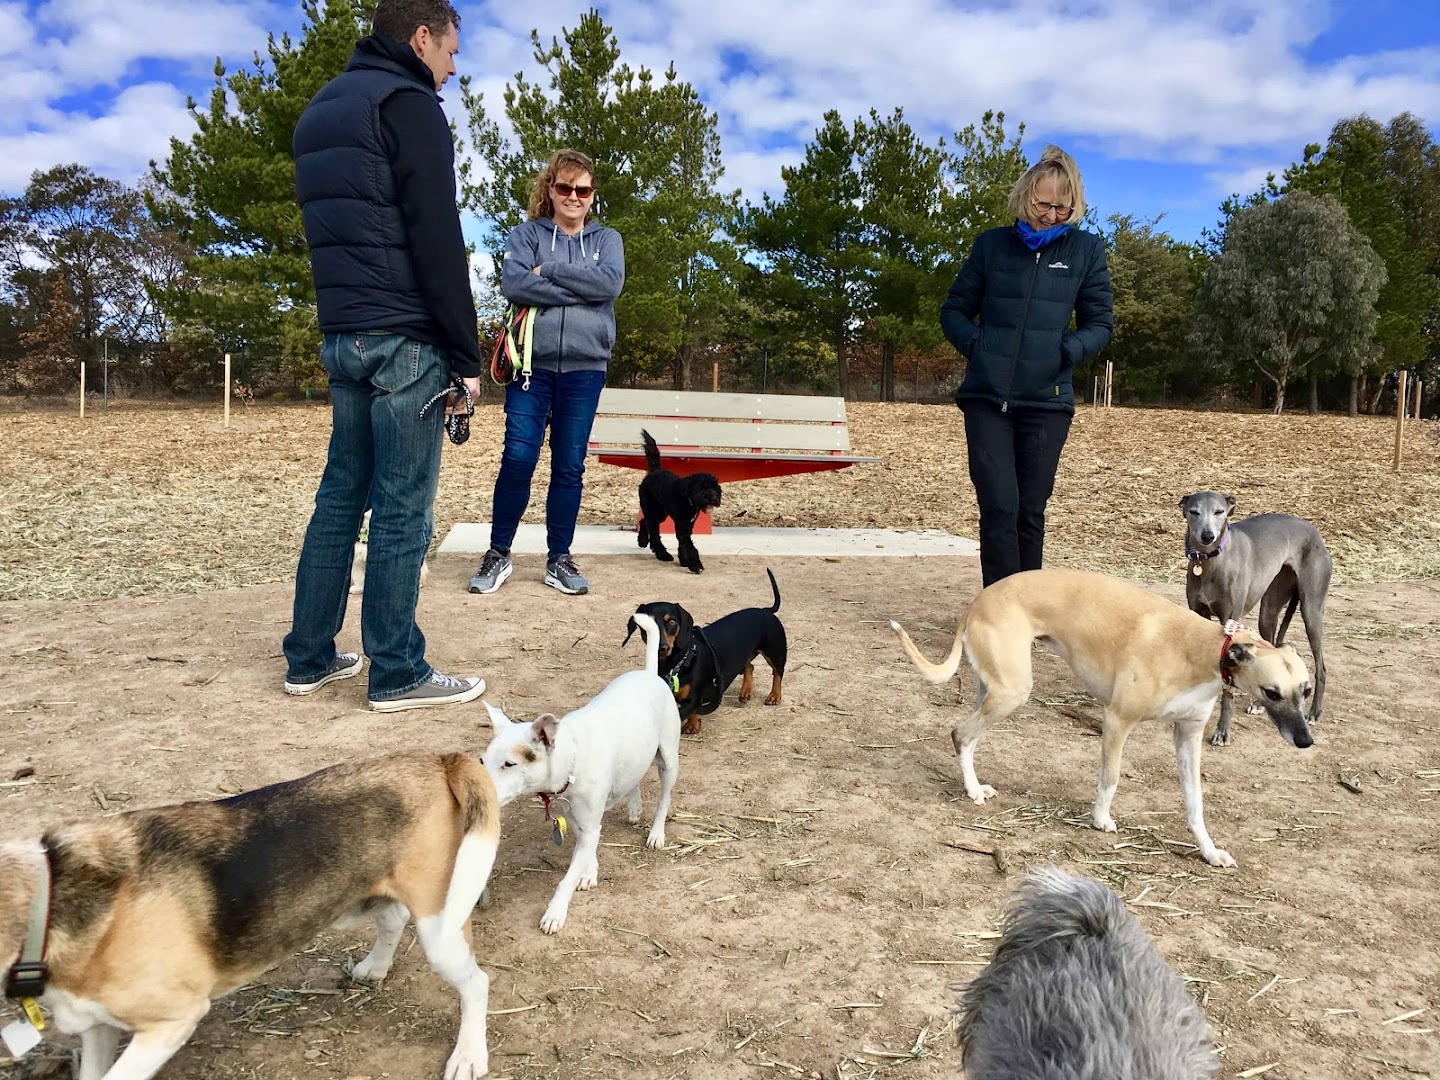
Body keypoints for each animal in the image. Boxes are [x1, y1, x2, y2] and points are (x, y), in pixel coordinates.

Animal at [0, 754, 504, 1080]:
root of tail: (436, 759)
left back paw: (469, 1056)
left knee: (476, 983)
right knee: (392, 919)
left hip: (441, 926)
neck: (50, 899)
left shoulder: (170, 1023)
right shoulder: (100, 1021)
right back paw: (374, 967)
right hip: (365, 895)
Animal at [636, 429, 720, 576]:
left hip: (660, 514)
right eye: (702, 487)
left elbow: (682, 543)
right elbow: (690, 546)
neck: (688, 497)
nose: (714, 498)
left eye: (715, 487)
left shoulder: (687, 525)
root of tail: (654, 471)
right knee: (654, 533)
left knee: (645, 522)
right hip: (652, 510)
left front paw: (684, 561)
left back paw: (643, 541)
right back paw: (662, 554)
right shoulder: (683, 525)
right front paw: (696, 565)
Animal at [887, 567, 1319, 869]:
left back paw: (976, 785)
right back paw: (974, 792)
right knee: (960, 732)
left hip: (993, 690)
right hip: (1011, 692)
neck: (1205, 650)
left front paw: (1210, 851)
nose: (1306, 742)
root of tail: (978, 600)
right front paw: (1100, 820)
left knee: (969, 734)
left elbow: (1195, 802)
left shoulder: (1188, 734)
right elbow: (1110, 779)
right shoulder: (1117, 720)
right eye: (1271, 692)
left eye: (1306, 690)